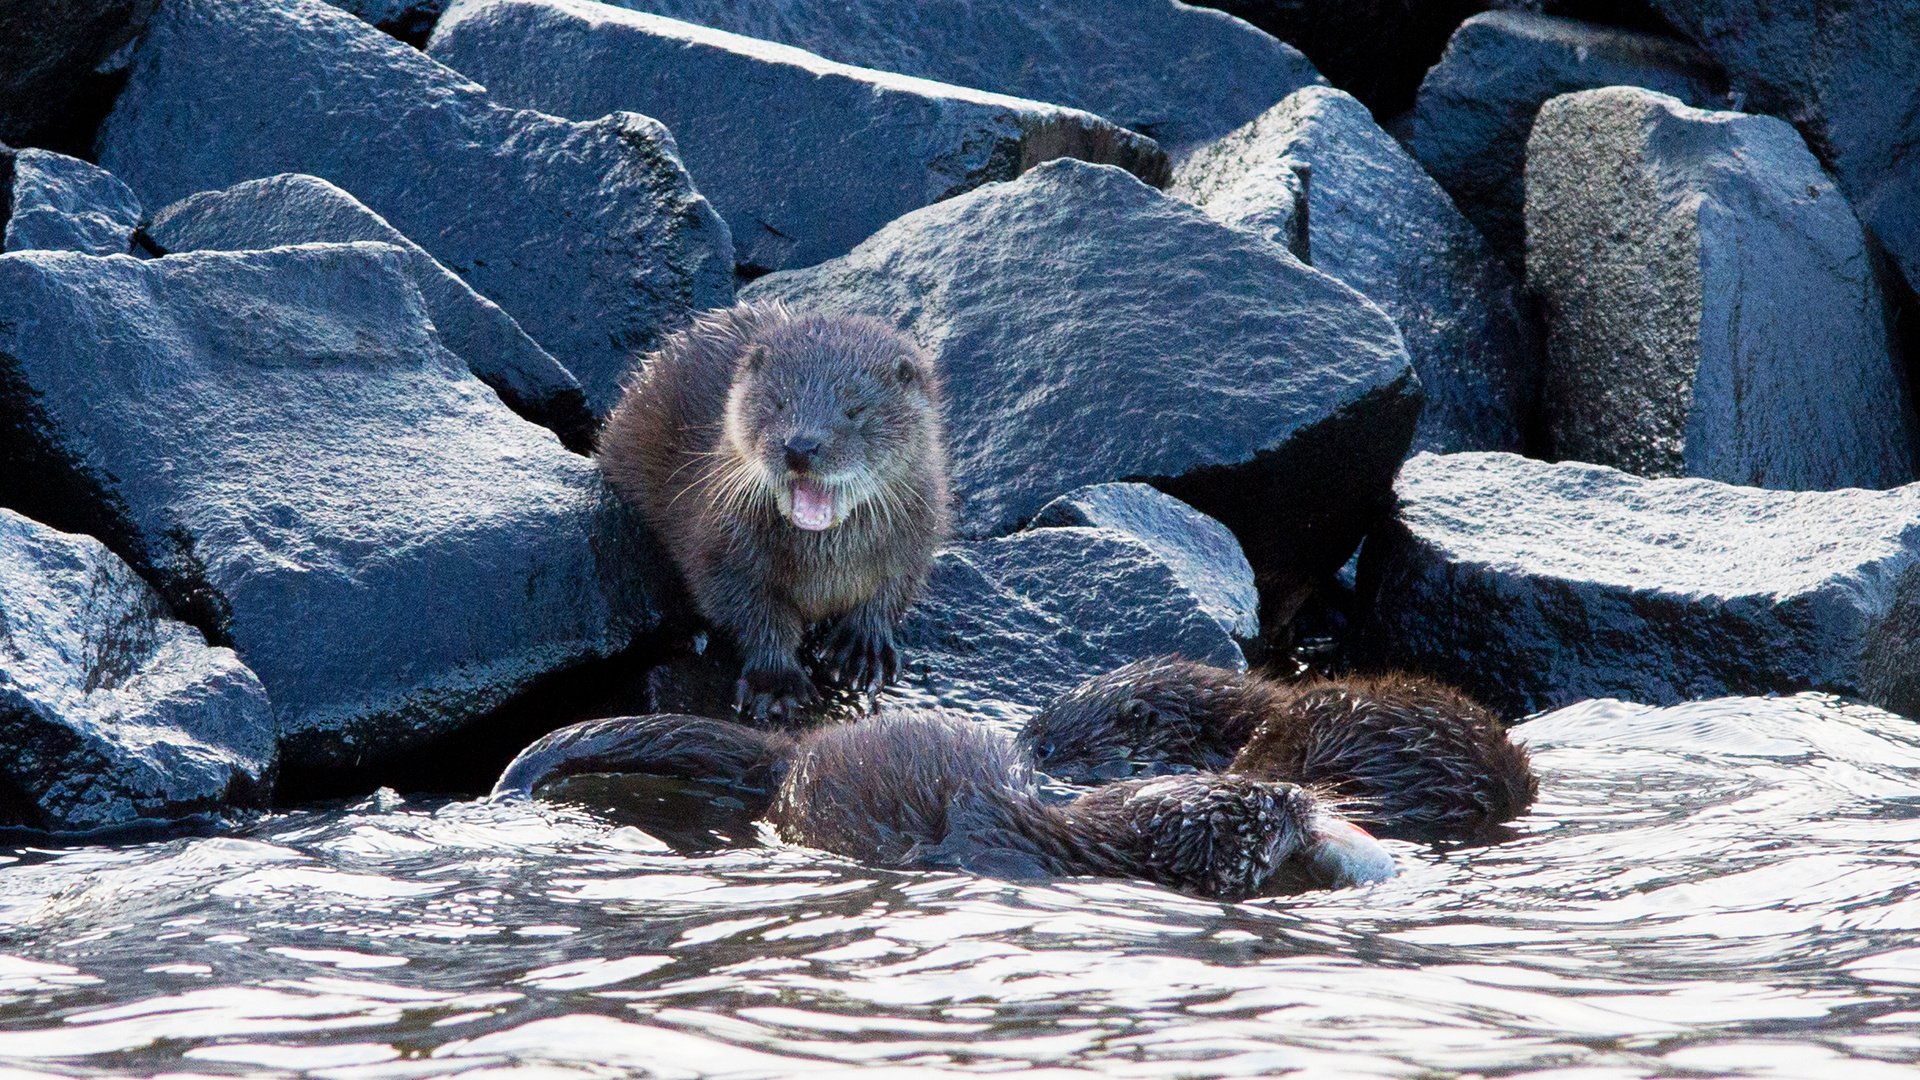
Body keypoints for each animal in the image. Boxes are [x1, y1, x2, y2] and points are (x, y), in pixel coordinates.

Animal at [595, 303, 948, 718]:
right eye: (778, 403)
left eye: (855, 410)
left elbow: (890, 591)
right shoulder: (721, 546)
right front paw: (776, 683)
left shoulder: (918, 533)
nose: (801, 444)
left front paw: (864, 649)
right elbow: (752, 612)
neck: (824, 570)